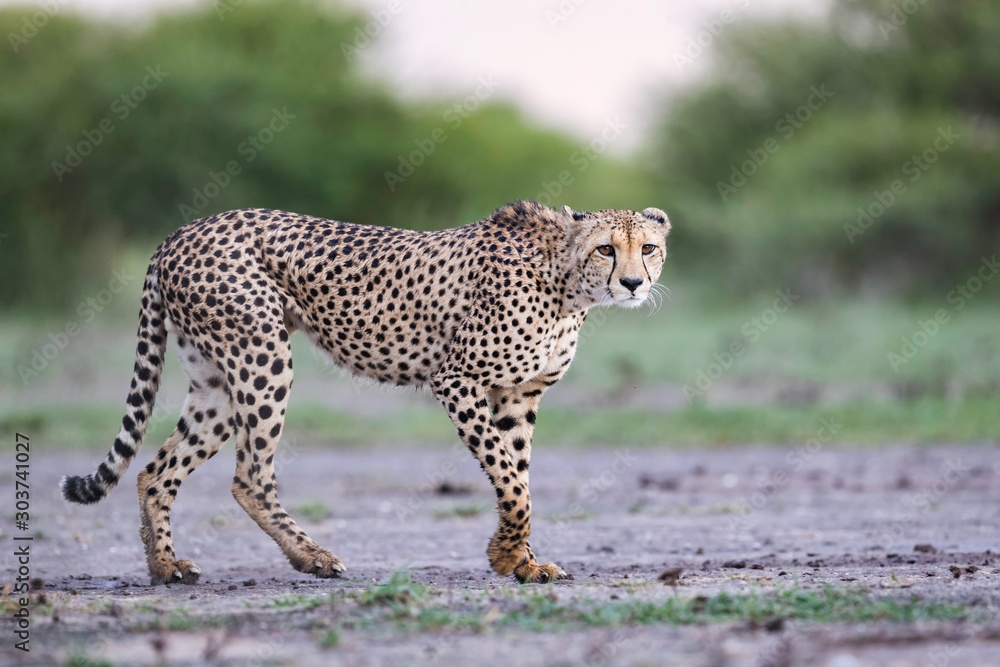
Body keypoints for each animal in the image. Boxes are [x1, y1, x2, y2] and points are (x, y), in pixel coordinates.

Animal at [60, 200, 671, 585]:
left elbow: (515, 479)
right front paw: (507, 556)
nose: (633, 283)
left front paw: (521, 561)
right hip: (262, 356)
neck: (566, 283)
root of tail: (180, 232)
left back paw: (166, 568)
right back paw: (313, 559)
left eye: (648, 248)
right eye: (606, 250)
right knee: (249, 477)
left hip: (215, 381)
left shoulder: (518, 395)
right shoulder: (457, 381)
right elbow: (511, 482)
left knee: (155, 470)